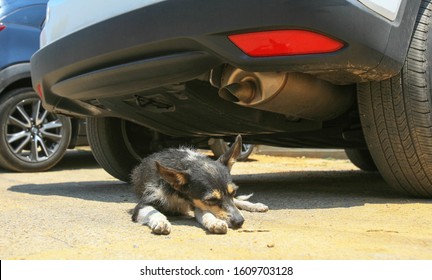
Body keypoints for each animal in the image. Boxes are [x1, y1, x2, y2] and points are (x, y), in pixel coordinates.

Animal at [130, 135, 268, 234]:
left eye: (233, 192)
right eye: (212, 199)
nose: (240, 221)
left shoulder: (199, 204)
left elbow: (208, 214)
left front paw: (215, 222)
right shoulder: (142, 205)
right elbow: (155, 212)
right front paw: (161, 222)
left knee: (237, 202)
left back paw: (255, 205)